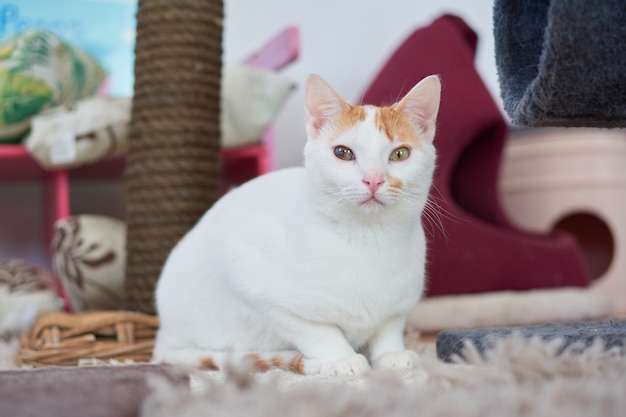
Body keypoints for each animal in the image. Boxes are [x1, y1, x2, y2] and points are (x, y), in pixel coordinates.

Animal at [152, 73, 438, 376]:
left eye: (400, 154)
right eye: (343, 153)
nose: (373, 179)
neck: (366, 239)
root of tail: (162, 337)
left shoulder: (400, 305)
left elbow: (389, 326)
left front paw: (391, 353)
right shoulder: (250, 281)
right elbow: (317, 331)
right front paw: (340, 358)